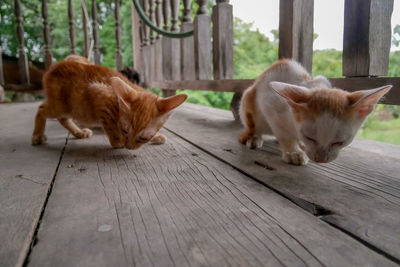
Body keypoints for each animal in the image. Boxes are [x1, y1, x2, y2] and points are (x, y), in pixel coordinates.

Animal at [31, 61, 188, 151]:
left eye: (144, 138)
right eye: (124, 130)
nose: (129, 147)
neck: (116, 104)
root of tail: (55, 66)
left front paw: (157, 136)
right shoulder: (99, 93)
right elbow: (110, 126)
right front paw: (117, 142)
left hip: (72, 110)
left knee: (63, 119)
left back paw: (78, 132)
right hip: (62, 106)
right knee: (41, 109)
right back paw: (37, 135)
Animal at [239, 59, 392, 165]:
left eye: (340, 142)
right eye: (309, 137)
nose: (320, 159)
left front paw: (298, 146)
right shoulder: (270, 104)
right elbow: (284, 135)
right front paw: (293, 152)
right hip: (248, 101)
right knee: (254, 126)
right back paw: (255, 137)